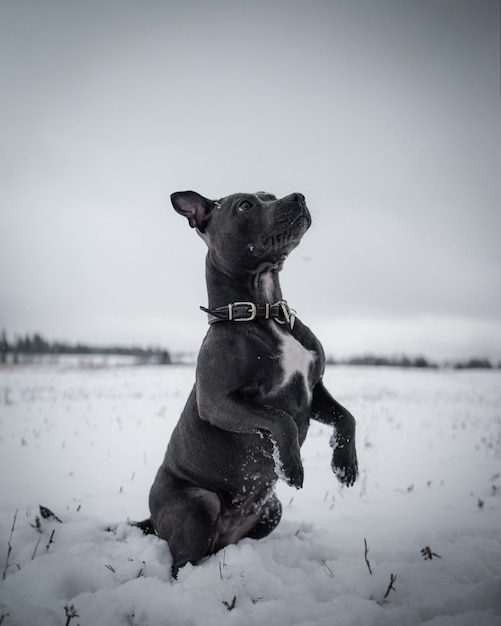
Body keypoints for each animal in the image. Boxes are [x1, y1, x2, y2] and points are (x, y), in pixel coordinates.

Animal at [145, 190, 356, 576]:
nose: (298, 196)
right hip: (199, 504)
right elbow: (281, 420)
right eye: (245, 205)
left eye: (268, 196)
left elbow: (346, 416)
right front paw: (291, 466)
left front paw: (345, 464)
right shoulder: (219, 403)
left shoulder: (314, 389)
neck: (265, 309)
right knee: (180, 563)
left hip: (271, 509)